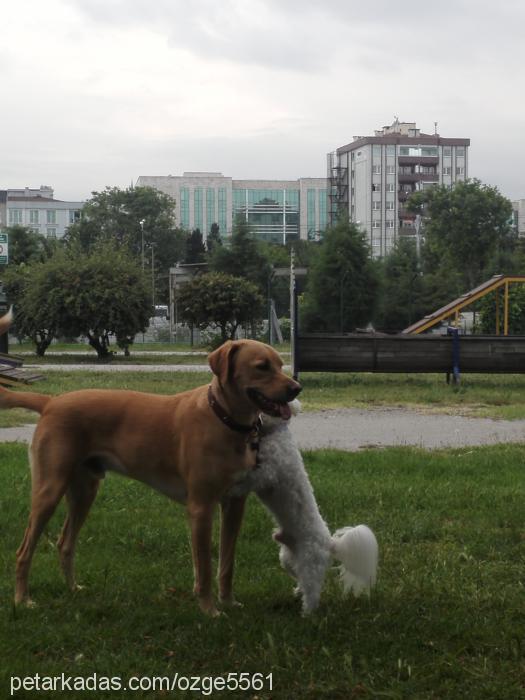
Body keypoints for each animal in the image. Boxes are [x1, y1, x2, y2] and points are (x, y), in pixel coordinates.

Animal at [0, 336, 300, 616]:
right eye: (262, 366)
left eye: (280, 364)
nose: (297, 388)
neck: (224, 418)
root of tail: (51, 401)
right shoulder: (200, 507)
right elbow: (203, 567)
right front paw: (209, 610)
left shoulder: (235, 504)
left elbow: (227, 563)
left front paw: (227, 601)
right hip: (49, 489)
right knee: (24, 550)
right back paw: (22, 599)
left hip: (85, 490)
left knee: (65, 543)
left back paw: (72, 588)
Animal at [231, 402, 378, 616]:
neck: (275, 432)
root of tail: (330, 543)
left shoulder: (268, 472)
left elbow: (250, 478)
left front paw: (234, 485)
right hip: (287, 559)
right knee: (298, 576)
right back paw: (298, 591)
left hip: (310, 564)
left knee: (312, 591)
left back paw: (307, 613)